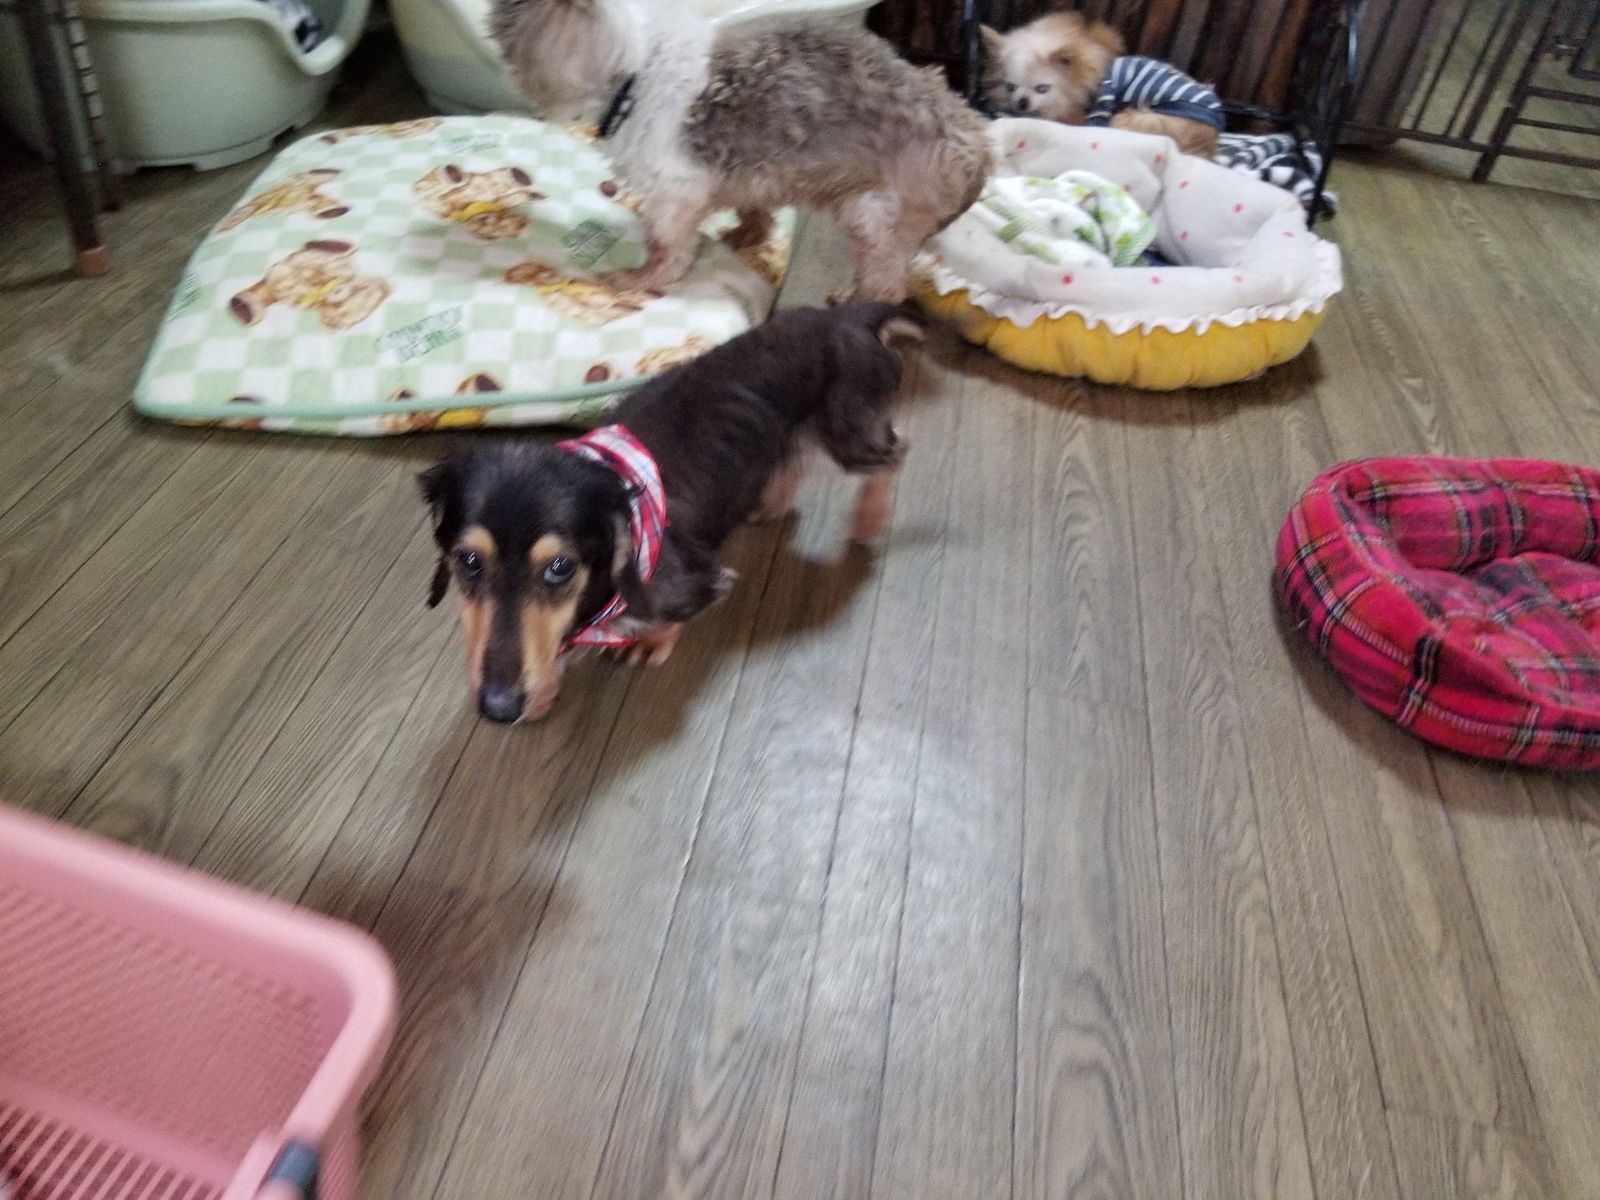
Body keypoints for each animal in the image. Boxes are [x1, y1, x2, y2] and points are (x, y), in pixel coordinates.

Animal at [420, 302, 920, 723]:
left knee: (898, 452)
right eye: (468, 561)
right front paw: (544, 689)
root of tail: (847, 316)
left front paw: (651, 643)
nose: (498, 708)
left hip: (850, 435)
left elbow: (672, 614)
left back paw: (870, 516)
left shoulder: (695, 583)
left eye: (561, 567)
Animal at [489, 0, 989, 303]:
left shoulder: (675, 190)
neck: (637, 67)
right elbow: (754, 210)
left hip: (875, 213)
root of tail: (975, 142)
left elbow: (665, 249)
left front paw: (639, 280)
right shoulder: (746, 175)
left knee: (886, 287)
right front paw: (745, 236)